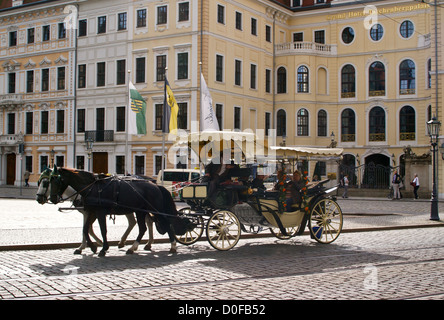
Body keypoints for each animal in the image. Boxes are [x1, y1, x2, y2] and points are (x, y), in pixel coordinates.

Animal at [49, 166, 194, 256]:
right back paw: (132, 247)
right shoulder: (92, 211)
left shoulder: (100, 212)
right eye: (48, 181)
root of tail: (156, 185)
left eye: (56, 180)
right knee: (143, 228)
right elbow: (85, 229)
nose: (52, 198)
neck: (92, 187)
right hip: (141, 211)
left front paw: (103, 248)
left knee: (166, 224)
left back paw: (172, 246)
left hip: (155, 209)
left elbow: (102, 230)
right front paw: (93, 247)